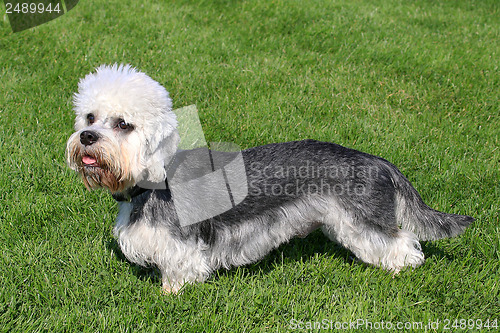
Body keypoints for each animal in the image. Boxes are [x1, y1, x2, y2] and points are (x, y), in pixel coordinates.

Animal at [65, 63, 472, 292]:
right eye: (90, 117)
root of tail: (379, 162)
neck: (155, 180)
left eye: (124, 124)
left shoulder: (182, 248)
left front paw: (169, 294)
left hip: (364, 220)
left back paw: (401, 268)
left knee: (403, 242)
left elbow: (179, 272)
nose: (86, 137)